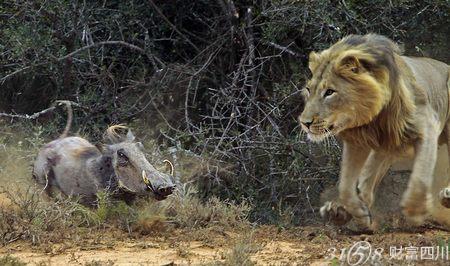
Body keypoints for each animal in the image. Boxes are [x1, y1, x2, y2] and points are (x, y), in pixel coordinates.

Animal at [298, 33, 450, 231]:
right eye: (309, 90)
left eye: (330, 92)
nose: (304, 123)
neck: (372, 118)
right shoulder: (357, 142)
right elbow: (346, 186)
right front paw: (359, 214)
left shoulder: (427, 126)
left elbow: (421, 176)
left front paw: (415, 212)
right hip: (387, 147)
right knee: (366, 181)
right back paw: (339, 212)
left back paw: (446, 197)